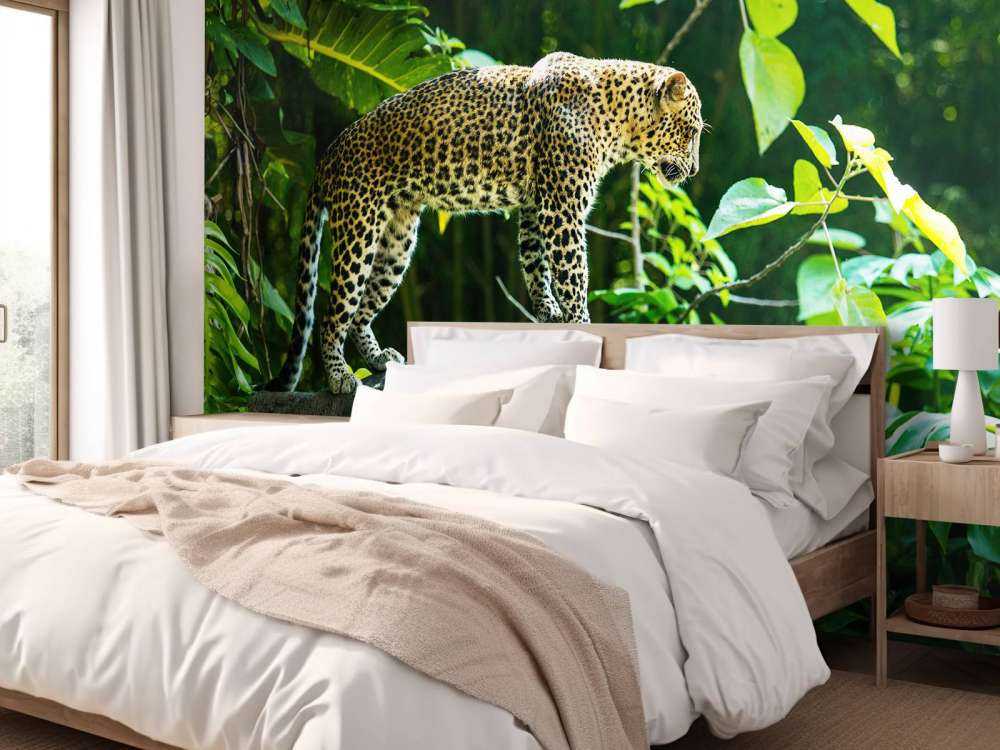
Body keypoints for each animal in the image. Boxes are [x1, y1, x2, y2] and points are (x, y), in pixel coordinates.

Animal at [266, 52, 703, 394]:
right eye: (692, 131)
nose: (696, 170)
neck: (618, 118)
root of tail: (328, 155)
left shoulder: (536, 206)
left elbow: (535, 266)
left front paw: (550, 319)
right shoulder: (562, 210)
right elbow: (573, 277)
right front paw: (581, 327)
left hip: (397, 240)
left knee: (360, 312)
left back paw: (378, 360)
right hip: (359, 230)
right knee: (332, 313)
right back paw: (340, 377)